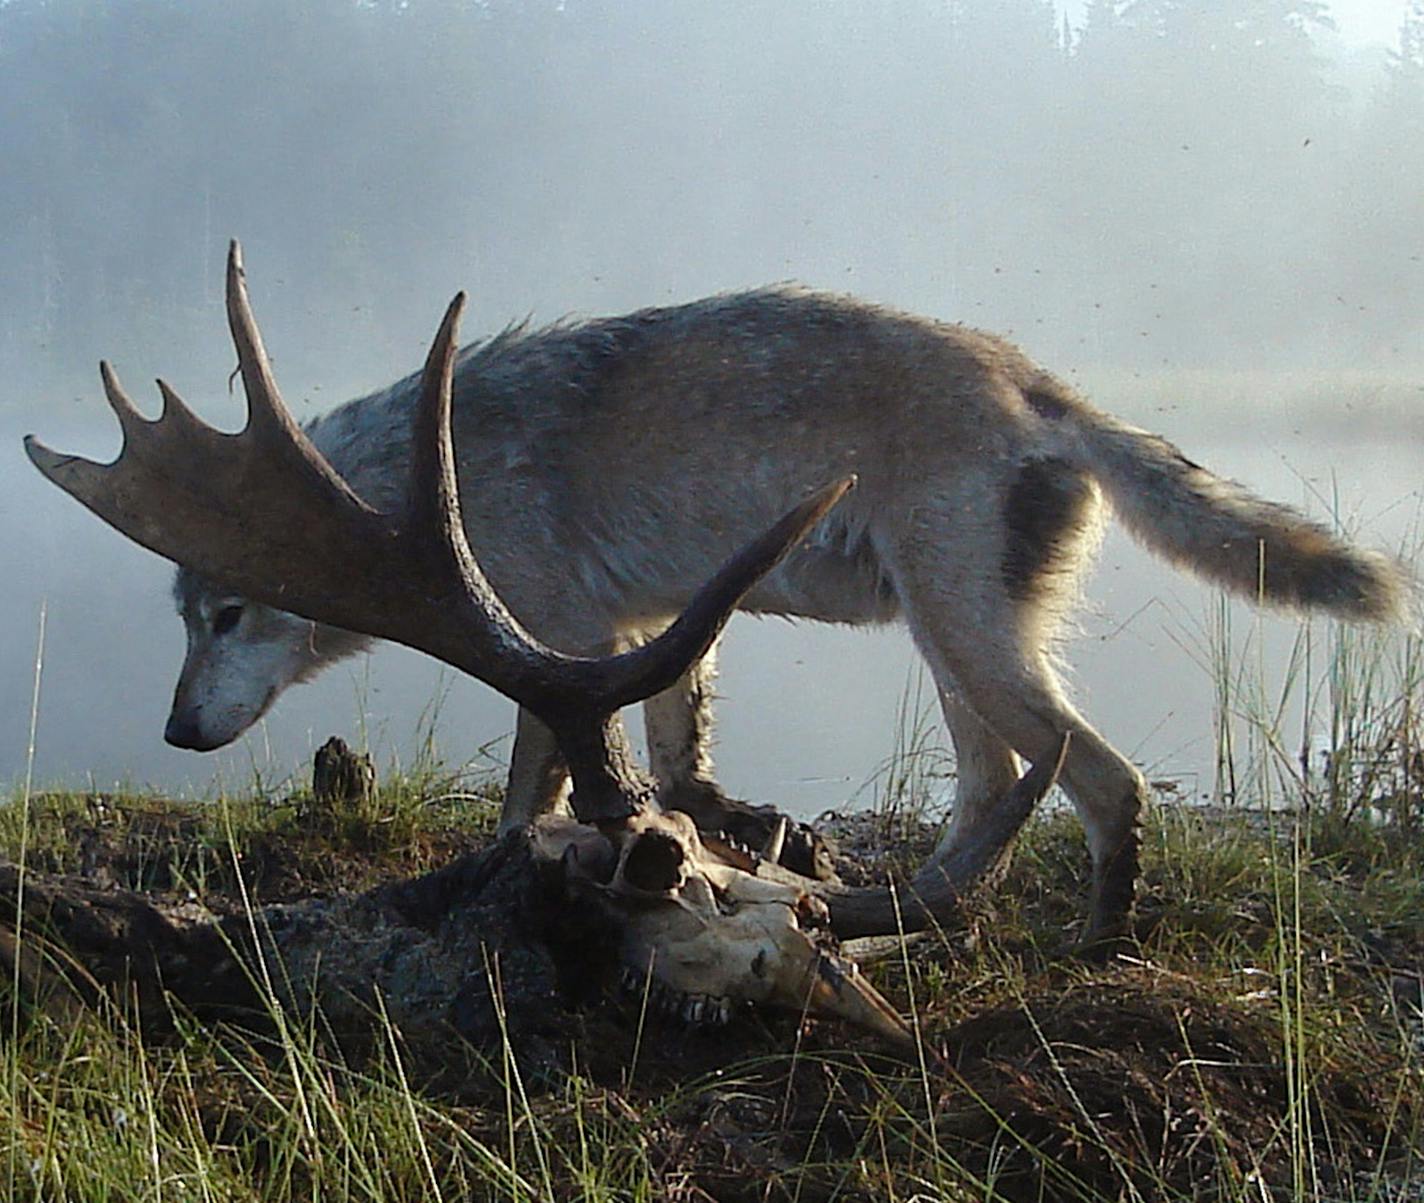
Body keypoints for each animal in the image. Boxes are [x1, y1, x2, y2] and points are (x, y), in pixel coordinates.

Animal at [163, 289, 1401, 939]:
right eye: (184, 616)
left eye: (226, 617)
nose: (174, 732)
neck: (412, 486)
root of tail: (1041, 387)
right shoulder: (645, 633)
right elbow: (675, 764)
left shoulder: (554, 646)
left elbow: (530, 789)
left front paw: (512, 868)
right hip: (949, 646)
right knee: (1000, 785)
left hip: (968, 646)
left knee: (1101, 781)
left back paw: (1086, 950)